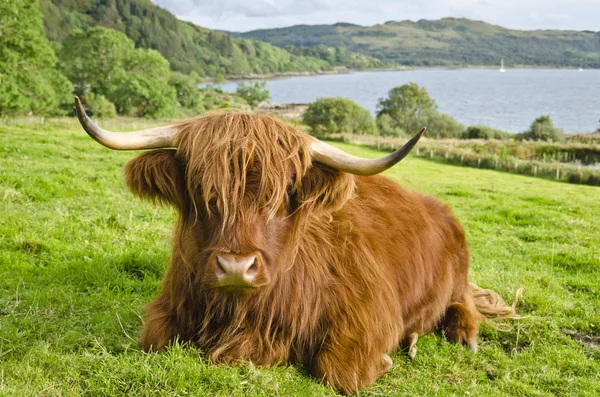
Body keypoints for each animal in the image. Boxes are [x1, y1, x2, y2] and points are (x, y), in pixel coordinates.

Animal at [75, 96, 516, 392]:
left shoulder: (370, 313)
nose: (236, 267)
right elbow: (155, 339)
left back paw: (459, 335)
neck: (242, 316)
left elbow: (340, 371)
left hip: (456, 274)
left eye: (283, 193)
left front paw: (386, 360)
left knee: (463, 301)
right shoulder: (168, 310)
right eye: (200, 190)